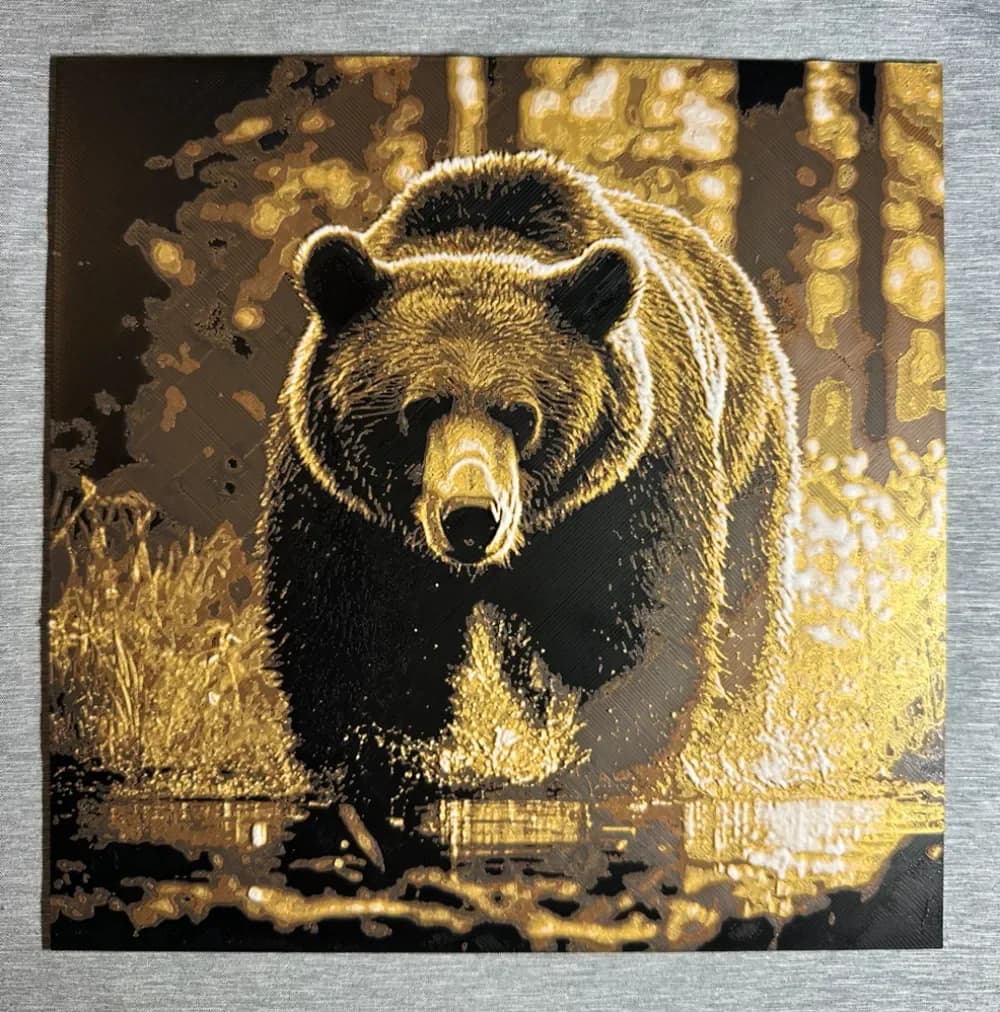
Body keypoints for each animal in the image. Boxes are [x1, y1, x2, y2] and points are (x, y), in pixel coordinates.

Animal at [260, 149, 799, 806]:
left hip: (751, 453)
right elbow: (354, 639)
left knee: (746, 608)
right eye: (421, 409)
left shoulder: (627, 485)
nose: (471, 516)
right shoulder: (347, 508)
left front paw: (606, 764)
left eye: (520, 414)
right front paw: (383, 765)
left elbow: (637, 620)